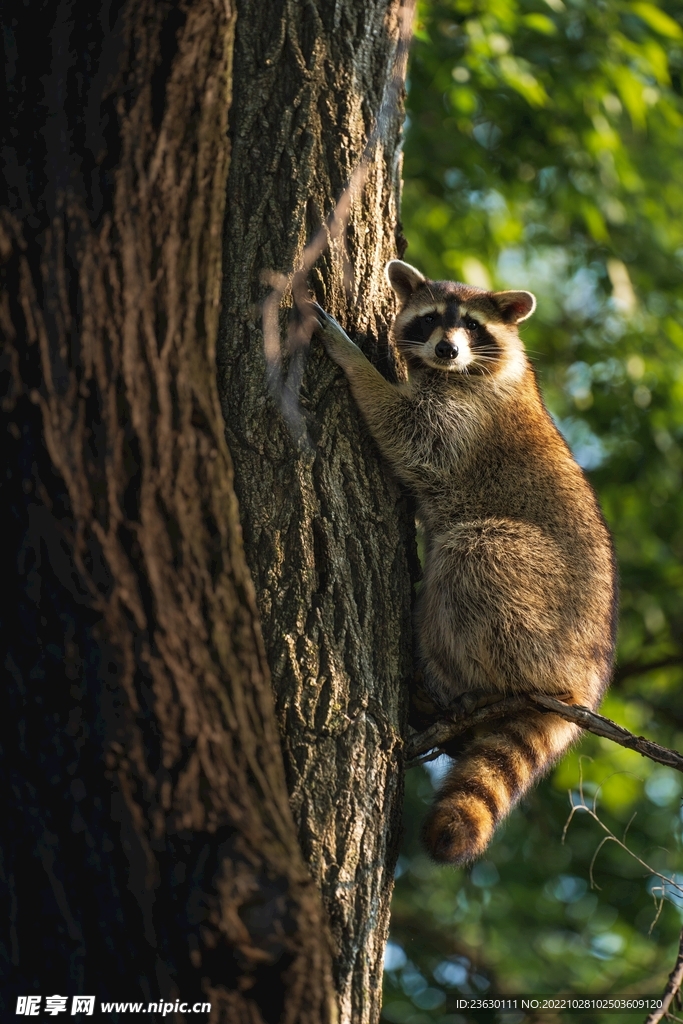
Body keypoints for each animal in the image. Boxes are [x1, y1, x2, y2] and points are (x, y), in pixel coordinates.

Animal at [315, 262, 618, 864]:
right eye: (432, 319)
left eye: (473, 327)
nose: (447, 349)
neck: (454, 372)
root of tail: (583, 678)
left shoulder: (467, 415)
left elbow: (409, 432)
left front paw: (353, 360)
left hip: (538, 597)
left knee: (471, 557)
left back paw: (446, 680)